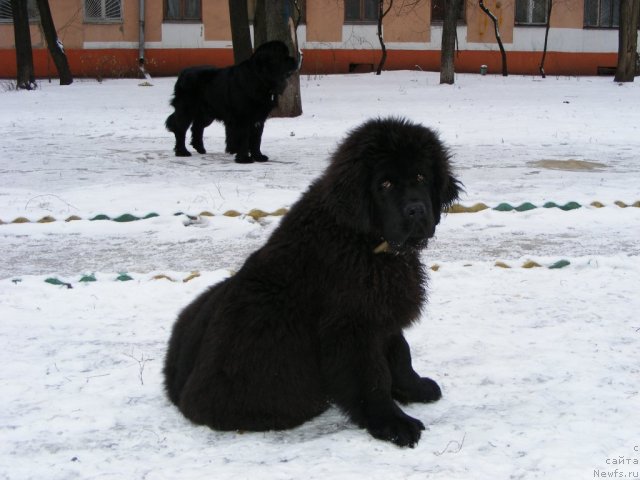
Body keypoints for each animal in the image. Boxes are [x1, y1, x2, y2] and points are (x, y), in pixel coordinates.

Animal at [164, 40, 296, 162]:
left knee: (197, 128)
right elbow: (243, 137)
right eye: (282, 56)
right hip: (186, 110)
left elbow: (256, 138)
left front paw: (258, 156)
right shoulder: (242, 118)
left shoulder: (258, 118)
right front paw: (244, 158)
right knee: (180, 129)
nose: (295, 59)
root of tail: (183, 73)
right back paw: (182, 152)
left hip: (206, 114)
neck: (259, 79)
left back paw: (200, 149)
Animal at [165, 118, 462, 448]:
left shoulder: (380, 309)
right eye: (384, 185)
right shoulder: (351, 324)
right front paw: (392, 422)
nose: (417, 210)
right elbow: (373, 376)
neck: (365, 240)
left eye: (421, 176)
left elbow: (400, 353)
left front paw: (414, 388)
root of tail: (181, 396)